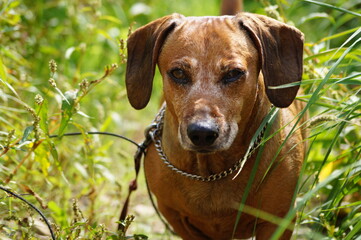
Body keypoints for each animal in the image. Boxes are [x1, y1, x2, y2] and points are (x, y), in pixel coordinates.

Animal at [124, 0, 304, 239]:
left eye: (234, 73)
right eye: (178, 73)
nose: (202, 132)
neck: (211, 172)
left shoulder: (278, 220)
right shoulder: (176, 217)